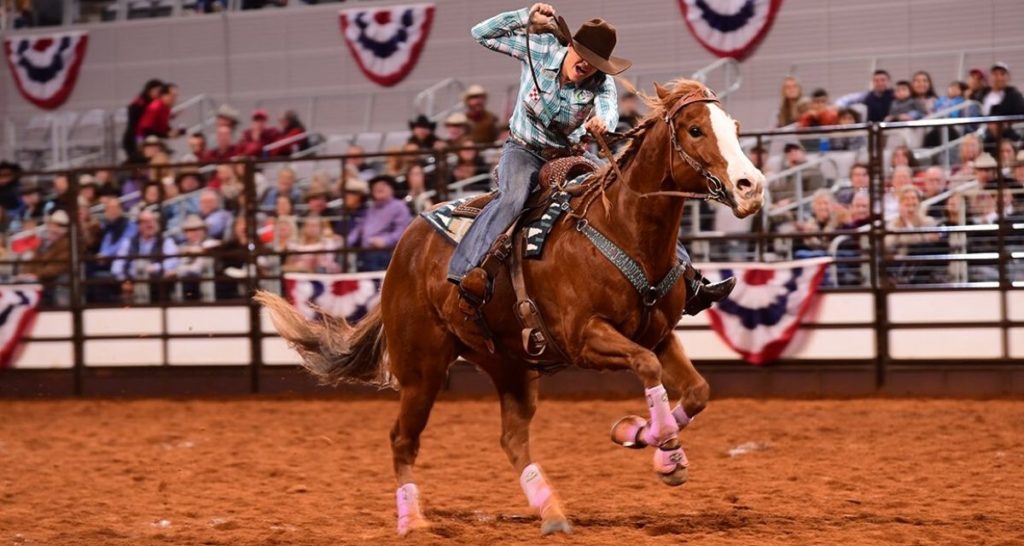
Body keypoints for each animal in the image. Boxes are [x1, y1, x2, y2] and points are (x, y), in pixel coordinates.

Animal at [258, 77, 761, 536]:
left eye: (735, 127)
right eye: (695, 130)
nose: (751, 186)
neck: (620, 228)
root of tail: (404, 248)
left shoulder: (658, 335)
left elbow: (696, 391)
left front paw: (639, 436)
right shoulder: (585, 338)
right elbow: (647, 368)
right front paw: (666, 453)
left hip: (510, 364)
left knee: (512, 439)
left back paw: (551, 512)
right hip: (422, 369)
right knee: (403, 438)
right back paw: (413, 521)